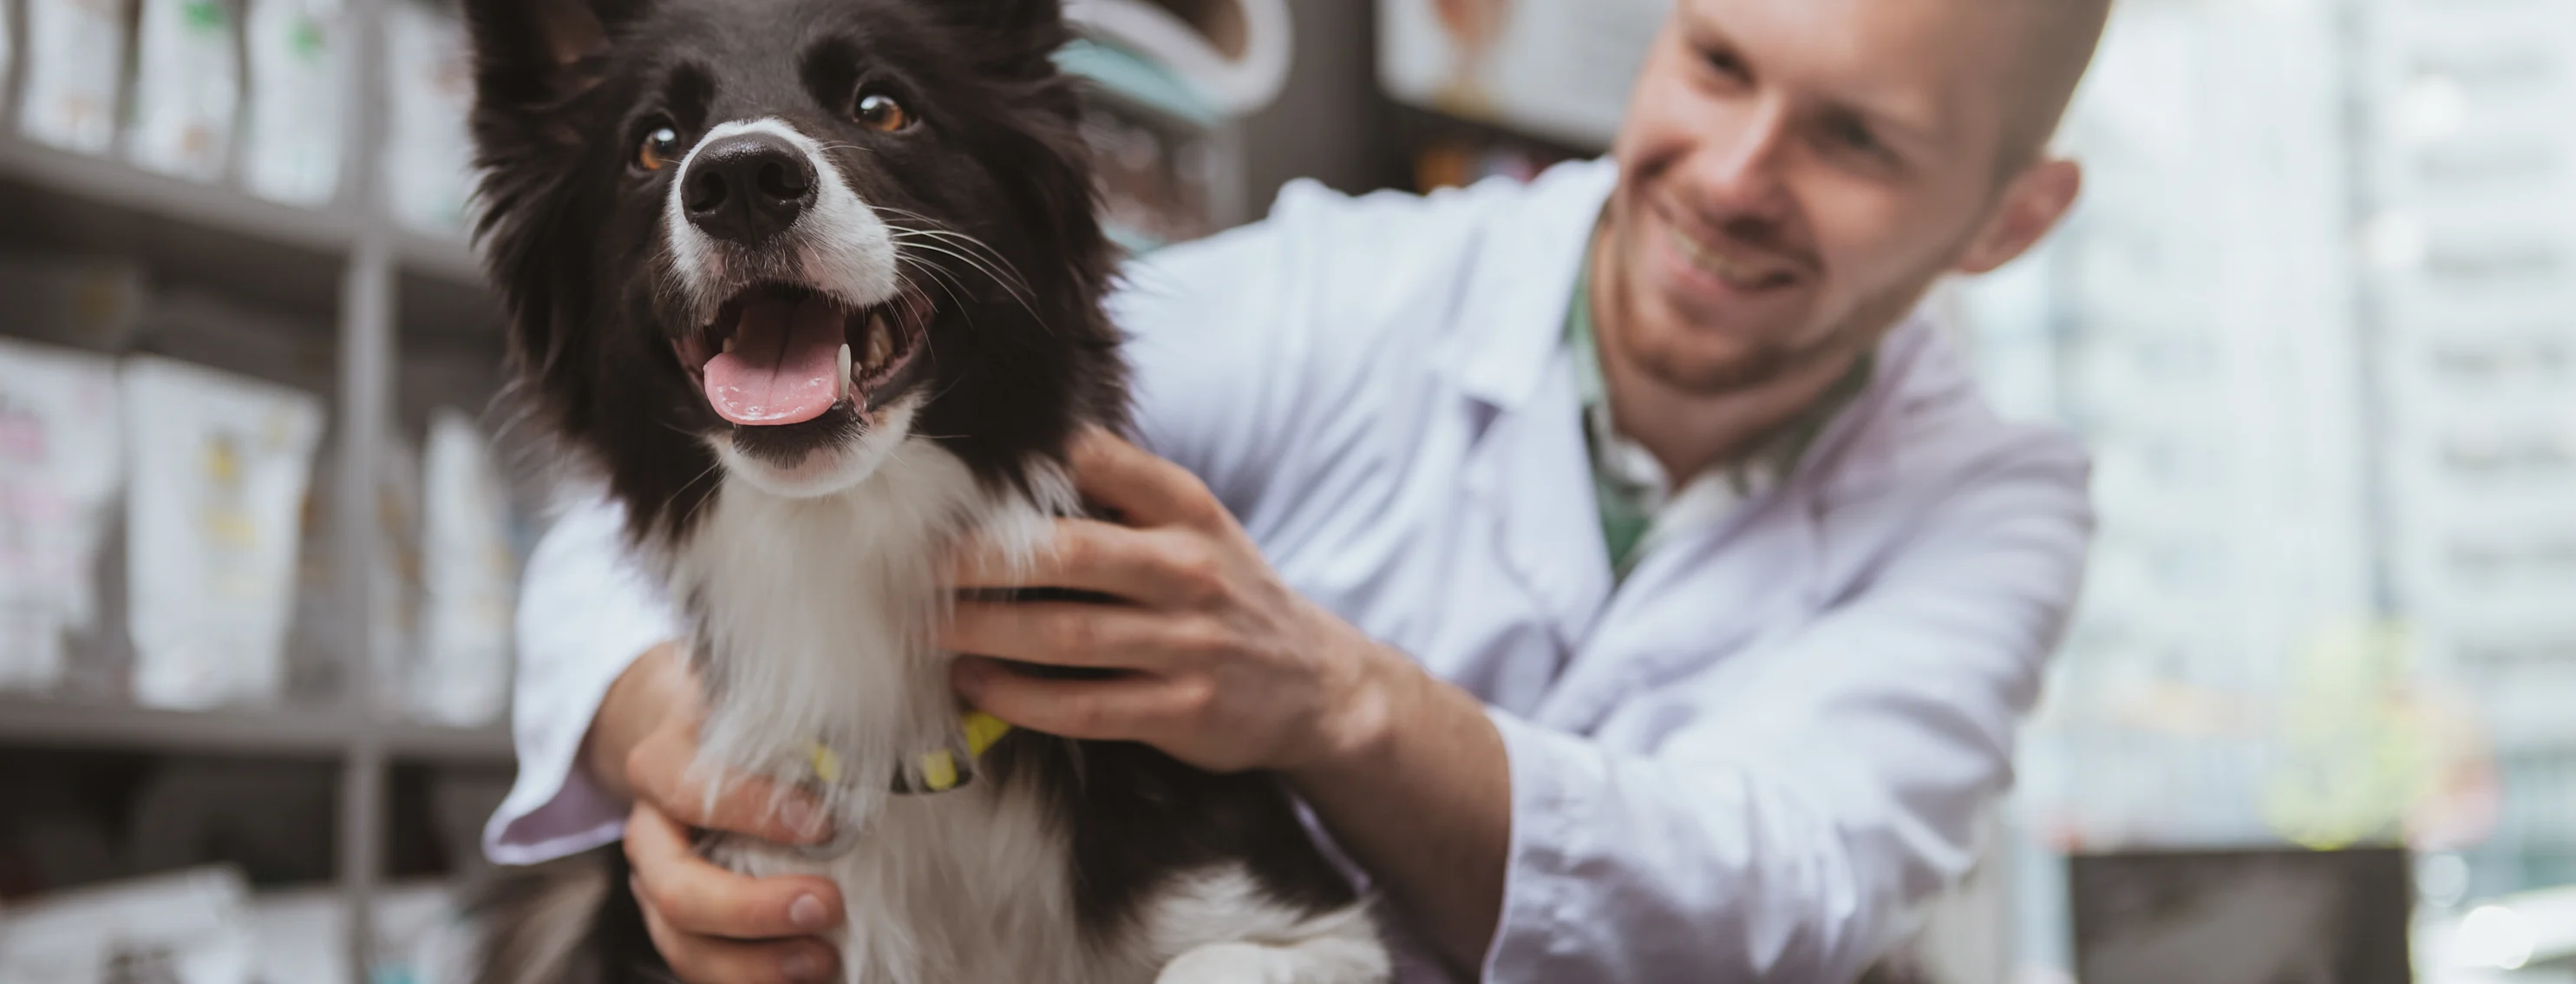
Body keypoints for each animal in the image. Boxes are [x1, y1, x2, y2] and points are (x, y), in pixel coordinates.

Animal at [461, 2, 1390, 984]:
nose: (743, 179)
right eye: (655, 143)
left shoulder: (1299, 921)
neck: (843, 531)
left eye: (883, 106)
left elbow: (1206, 961)